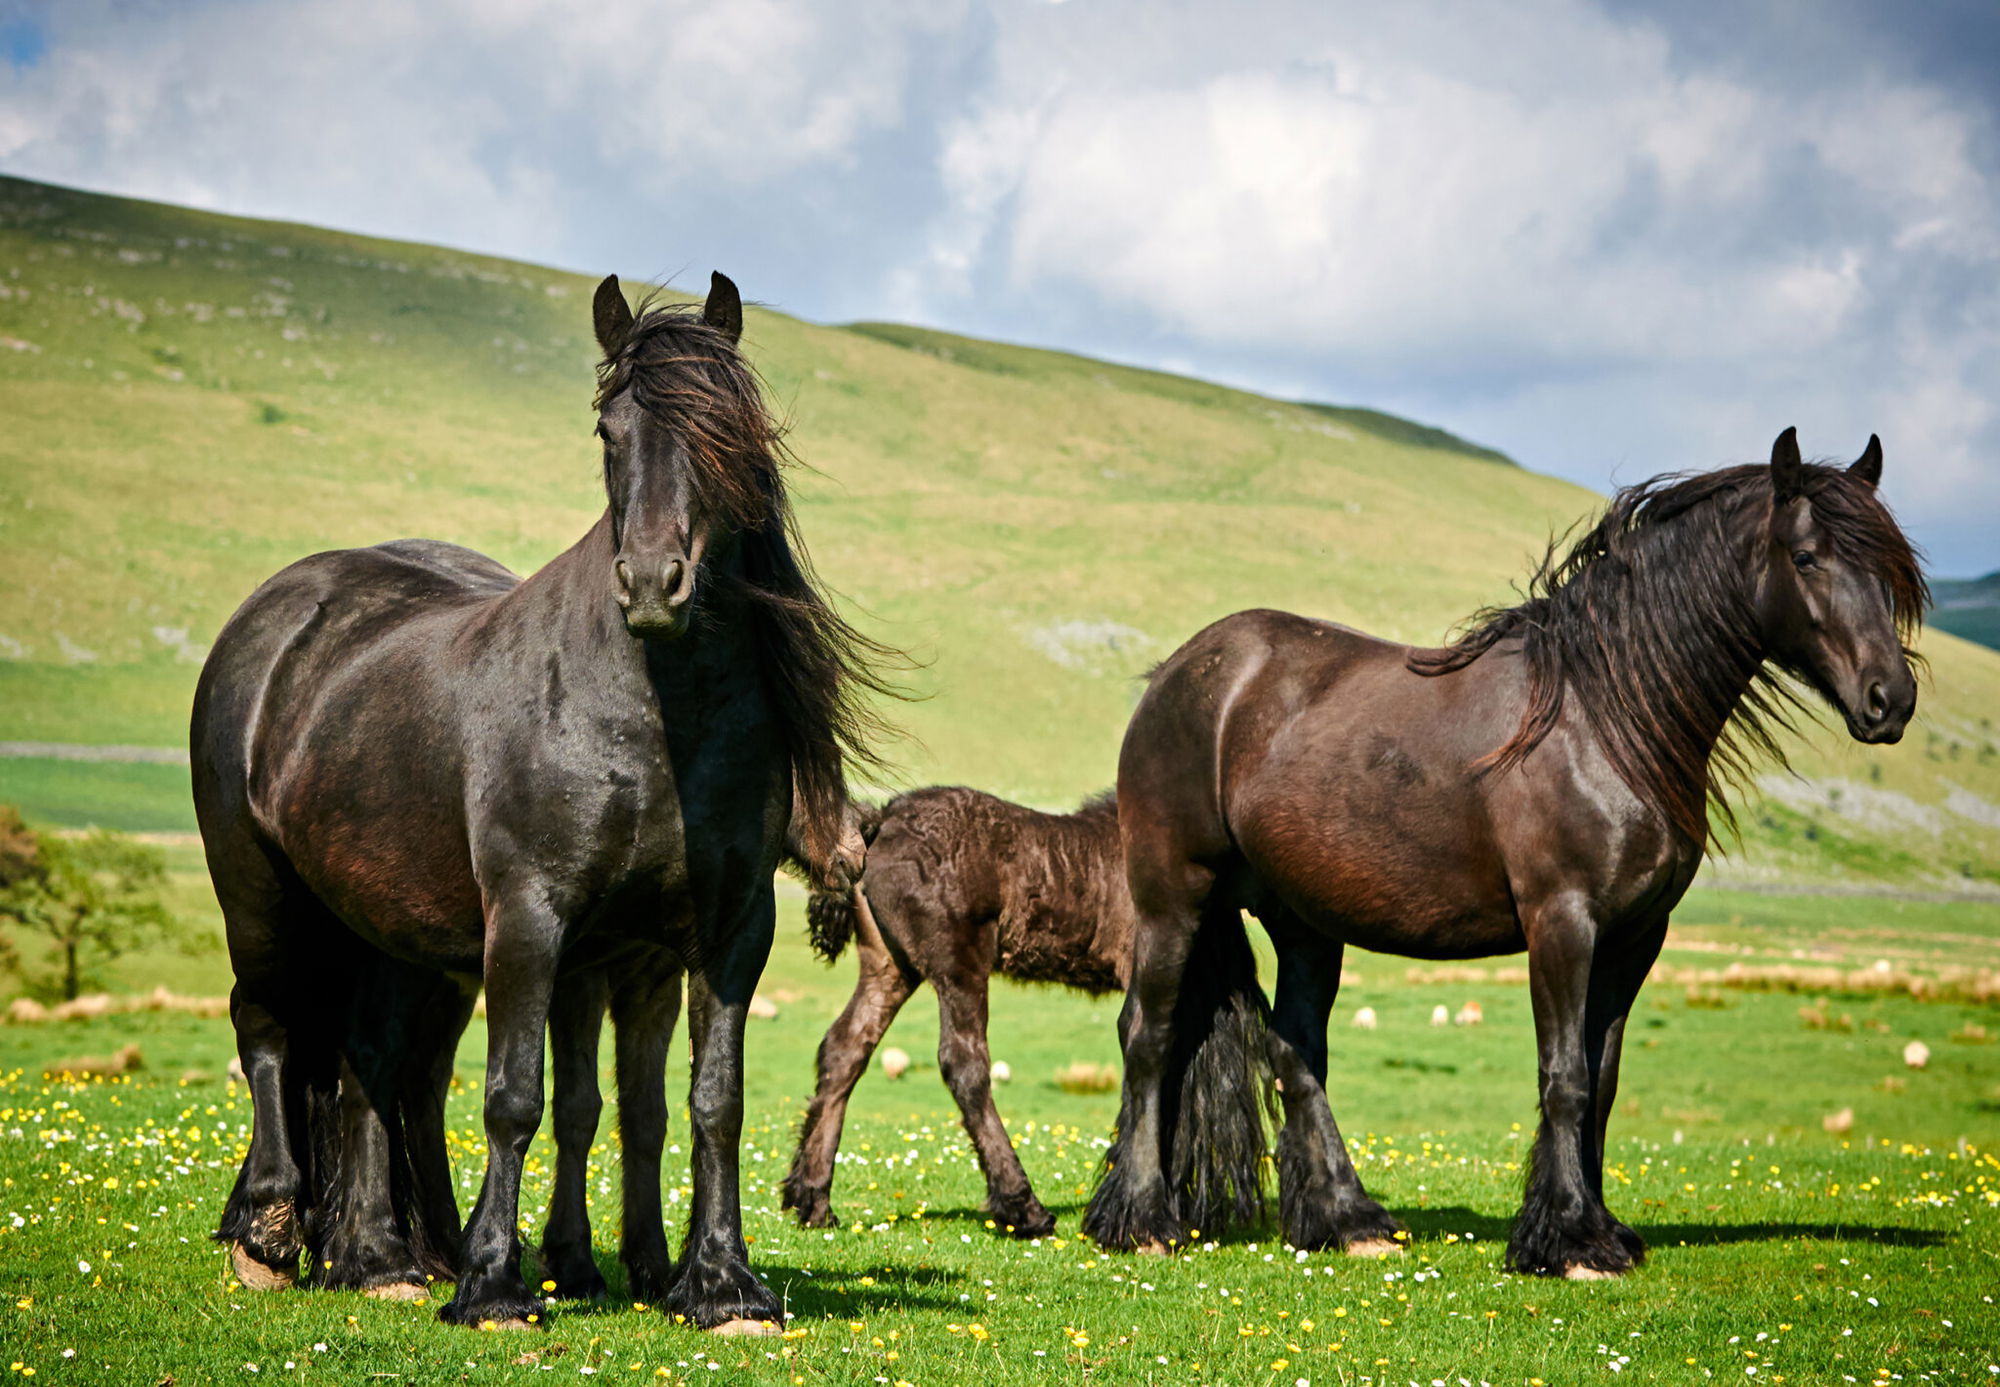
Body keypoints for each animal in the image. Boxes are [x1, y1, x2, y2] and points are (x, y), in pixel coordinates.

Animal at [192, 271, 896, 1330]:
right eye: (609, 427)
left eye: (728, 428)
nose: (652, 583)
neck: (650, 717)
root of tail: (275, 613)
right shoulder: (533, 921)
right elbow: (516, 1098)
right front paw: (494, 1283)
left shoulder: (719, 934)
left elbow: (702, 1101)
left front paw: (718, 1281)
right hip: (263, 899)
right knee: (269, 1030)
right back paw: (273, 1235)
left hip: (389, 933)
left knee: (370, 1060)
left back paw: (381, 1256)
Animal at [773, 787, 1145, 1239]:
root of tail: (883, 820)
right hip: (958, 963)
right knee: (963, 1063)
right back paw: (1023, 1208)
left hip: (890, 965)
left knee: (844, 1047)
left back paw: (811, 1200)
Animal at [1081, 431, 1924, 1279]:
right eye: (1807, 555)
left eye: (1889, 571)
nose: (1891, 700)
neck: (1600, 716)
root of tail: (1180, 672)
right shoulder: (1563, 922)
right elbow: (1566, 1077)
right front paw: (1569, 1240)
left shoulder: (1634, 938)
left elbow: (1602, 1079)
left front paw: (1601, 1228)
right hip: (1174, 896)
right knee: (1149, 1036)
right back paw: (1143, 1218)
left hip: (1305, 923)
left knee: (1296, 1051)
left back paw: (1347, 1219)